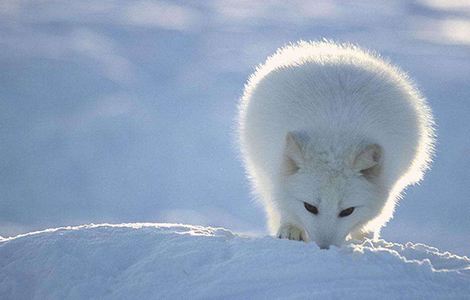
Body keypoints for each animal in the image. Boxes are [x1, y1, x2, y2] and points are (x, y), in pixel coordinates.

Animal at [241, 41, 436, 250]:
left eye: (347, 211)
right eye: (310, 207)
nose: (324, 248)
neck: (336, 138)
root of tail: (331, 49)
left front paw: (364, 239)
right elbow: (284, 205)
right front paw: (291, 230)